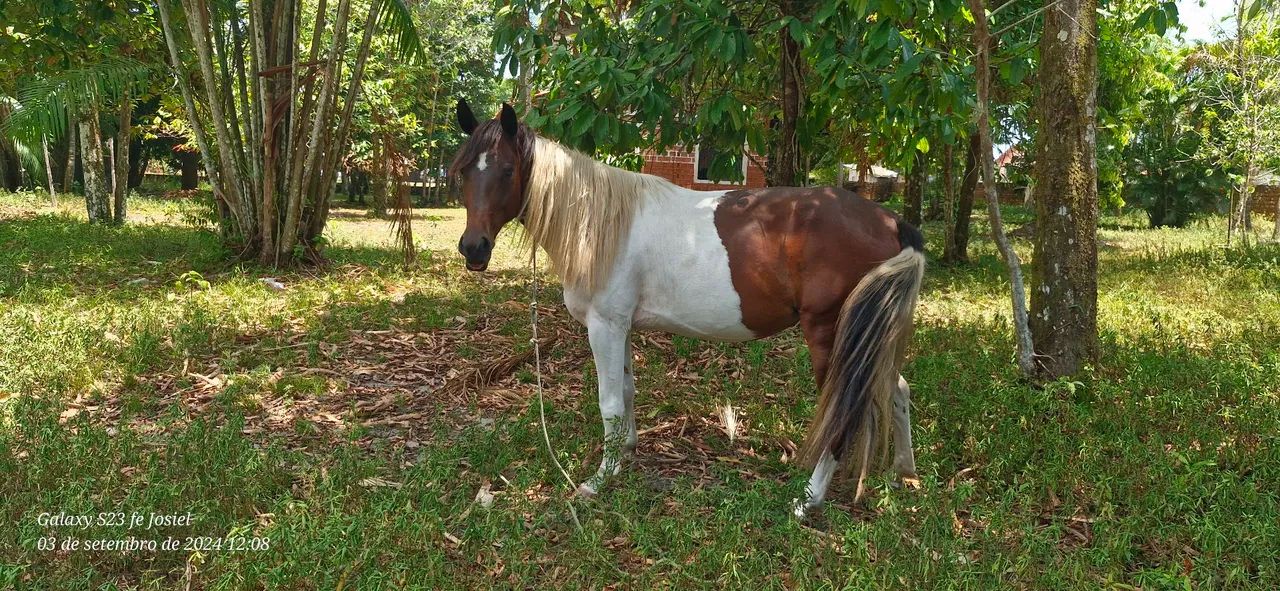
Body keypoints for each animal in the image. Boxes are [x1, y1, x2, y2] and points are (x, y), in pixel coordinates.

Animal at [449, 100, 925, 517]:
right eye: (463, 173)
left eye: (508, 170)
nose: (473, 249)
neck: (600, 223)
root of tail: (891, 223)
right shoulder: (622, 327)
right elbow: (627, 392)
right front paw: (625, 455)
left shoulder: (604, 326)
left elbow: (609, 403)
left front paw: (598, 480)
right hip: (870, 337)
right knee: (897, 389)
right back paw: (903, 473)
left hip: (832, 335)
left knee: (845, 408)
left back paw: (808, 501)